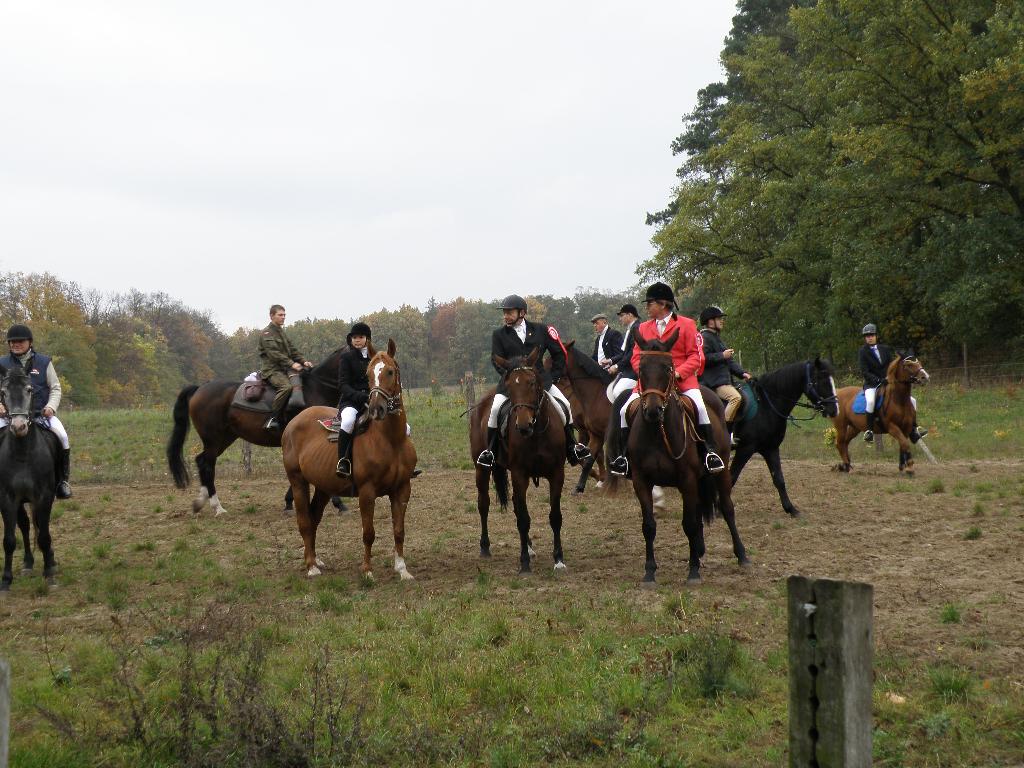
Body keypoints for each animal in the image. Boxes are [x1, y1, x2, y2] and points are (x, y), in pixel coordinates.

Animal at [0, 364, 59, 589]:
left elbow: (44, 535)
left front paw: (49, 573)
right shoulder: (7, 498)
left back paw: (50, 560)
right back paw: (27, 563)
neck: (22, 453)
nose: (18, 427)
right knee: (25, 525)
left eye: (29, 389)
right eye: (3, 392)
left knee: (40, 527)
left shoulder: (44, 496)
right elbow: (9, 540)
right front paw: (6, 579)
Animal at [280, 339, 415, 581]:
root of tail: (293, 423)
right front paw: (368, 571)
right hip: (298, 482)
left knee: (313, 518)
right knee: (304, 521)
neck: (391, 440)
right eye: (368, 374)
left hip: (323, 487)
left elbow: (399, 531)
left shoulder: (402, 489)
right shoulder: (367, 492)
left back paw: (316, 559)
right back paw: (311, 566)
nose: (377, 408)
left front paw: (402, 569)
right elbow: (368, 533)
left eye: (390, 371)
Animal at [468, 348, 569, 573]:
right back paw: (485, 547)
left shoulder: (557, 474)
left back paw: (530, 547)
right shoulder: (519, 474)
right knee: (484, 504)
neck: (537, 433)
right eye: (510, 386)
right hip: (481, 469)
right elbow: (523, 519)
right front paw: (524, 563)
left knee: (515, 504)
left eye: (532, 382)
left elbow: (555, 516)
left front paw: (558, 559)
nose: (523, 425)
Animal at [610, 333, 749, 585]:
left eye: (668, 368)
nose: (652, 411)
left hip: (721, 471)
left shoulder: (687, 480)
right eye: (641, 369)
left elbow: (690, 523)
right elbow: (649, 526)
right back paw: (700, 550)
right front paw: (649, 572)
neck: (657, 432)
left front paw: (693, 572)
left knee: (726, 507)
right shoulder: (641, 481)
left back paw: (742, 555)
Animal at [729, 360, 839, 518]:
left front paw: (791, 509)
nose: (834, 410)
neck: (766, 406)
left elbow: (779, 479)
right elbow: (732, 477)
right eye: (821, 380)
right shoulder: (745, 449)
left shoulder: (771, 448)